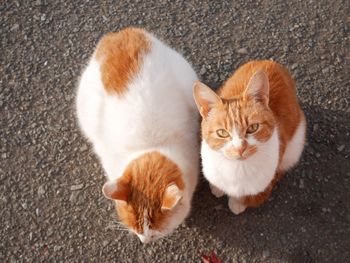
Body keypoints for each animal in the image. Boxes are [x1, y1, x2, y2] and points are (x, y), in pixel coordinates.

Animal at [194, 60, 306, 216]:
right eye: (222, 133)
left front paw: (237, 203)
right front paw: (217, 188)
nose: (240, 148)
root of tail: (270, 62)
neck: (237, 169)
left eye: (253, 128)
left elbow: (245, 196)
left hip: (295, 148)